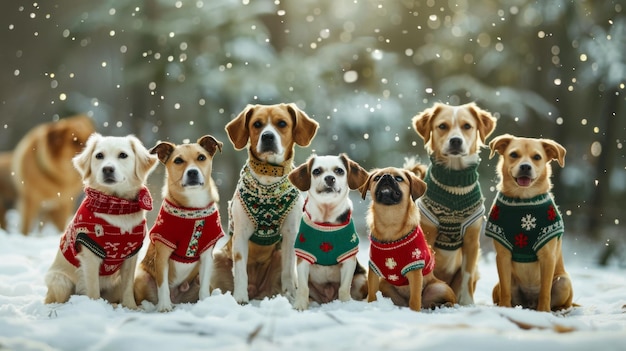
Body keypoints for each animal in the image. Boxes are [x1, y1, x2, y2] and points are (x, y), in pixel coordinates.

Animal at [134, 136, 224, 312]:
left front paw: (205, 303)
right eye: (178, 160)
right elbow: (162, 285)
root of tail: (177, 299)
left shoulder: (207, 252)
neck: (192, 206)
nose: (193, 172)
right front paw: (164, 307)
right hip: (142, 276)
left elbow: (204, 285)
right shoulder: (163, 250)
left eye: (201, 157)